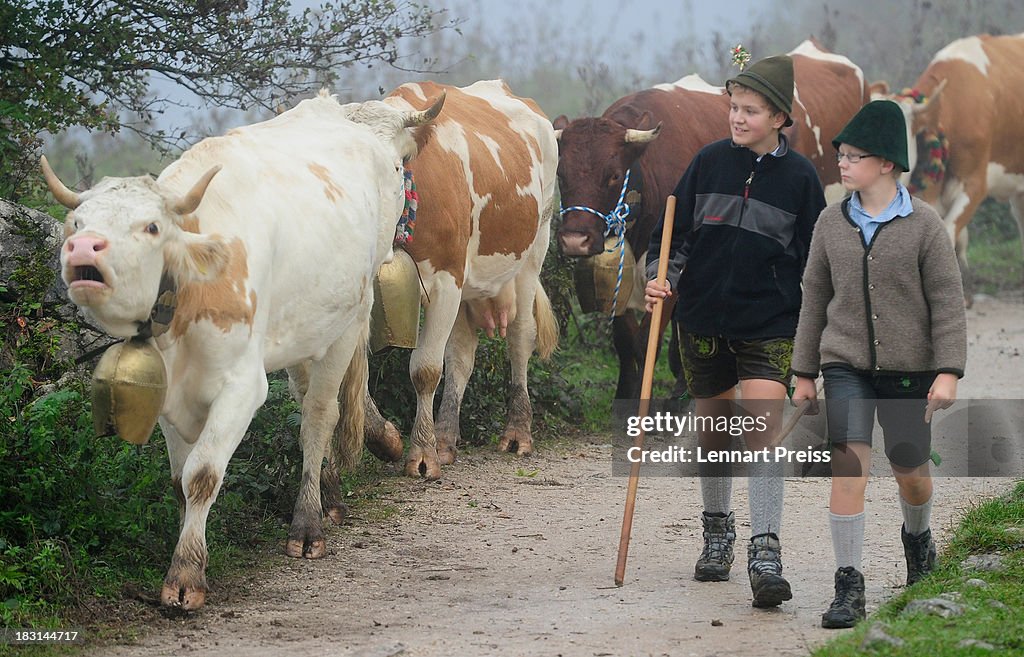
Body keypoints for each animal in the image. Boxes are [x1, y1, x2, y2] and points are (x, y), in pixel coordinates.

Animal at [45, 88, 444, 609]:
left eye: (152, 227)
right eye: (77, 221)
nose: (83, 248)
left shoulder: (241, 387)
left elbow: (201, 476)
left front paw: (186, 575)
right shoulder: (170, 390)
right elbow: (179, 482)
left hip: (347, 322)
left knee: (319, 417)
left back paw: (308, 523)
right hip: (302, 328)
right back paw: (332, 495)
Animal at [354, 80, 561, 474]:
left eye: (393, 166)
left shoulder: (445, 281)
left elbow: (425, 369)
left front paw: (421, 454)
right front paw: (385, 439)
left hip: (533, 251)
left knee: (519, 338)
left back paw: (517, 433)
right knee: (462, 355)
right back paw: (446, 439)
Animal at [552, 42, 864, 399]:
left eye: (614, 175)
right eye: (561, 174)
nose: (575, 240)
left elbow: (646, 342)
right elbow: (626, 341)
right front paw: (627, 395)